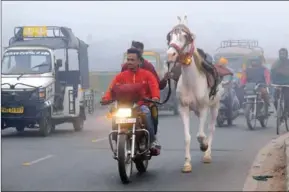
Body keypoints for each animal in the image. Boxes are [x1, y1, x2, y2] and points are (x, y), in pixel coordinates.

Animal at [164, 15, 225, 173]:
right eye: (170, 36)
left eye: (185, 36)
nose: (171, 54)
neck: (191, 82)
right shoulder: (183, 108)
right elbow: (188, 137)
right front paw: (187, 163)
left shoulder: (204, 107)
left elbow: (200, 135)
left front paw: (204, 146)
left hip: (215, 105)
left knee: (211, 128)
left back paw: (207, 153)